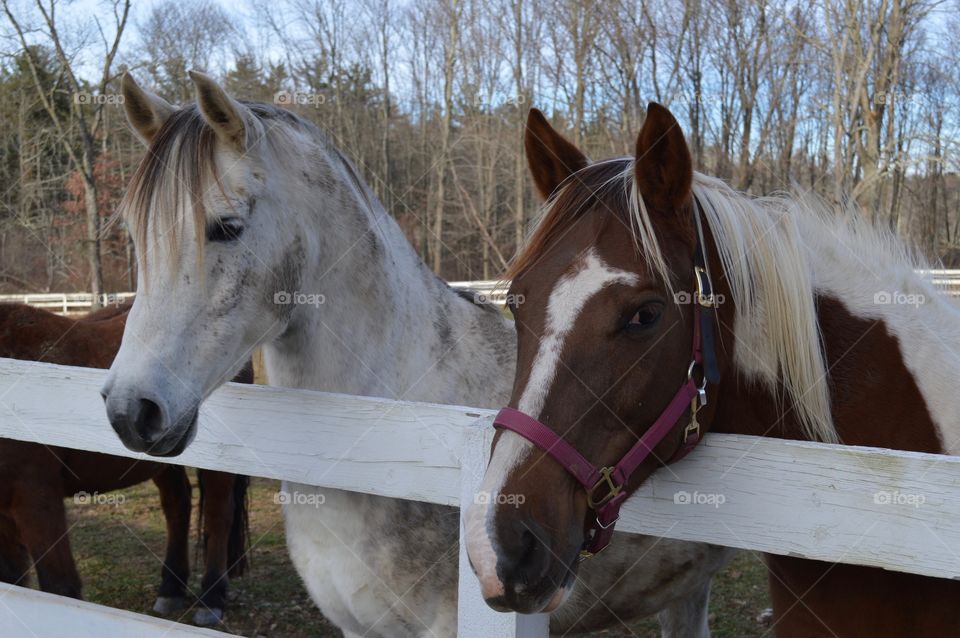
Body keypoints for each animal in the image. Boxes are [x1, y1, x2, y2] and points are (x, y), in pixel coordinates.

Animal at [0, 302, 251, 628]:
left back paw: (212, 598)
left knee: (218, 515)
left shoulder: (35, 498)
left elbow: (60, 587)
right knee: (178, 505)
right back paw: (171, 589)